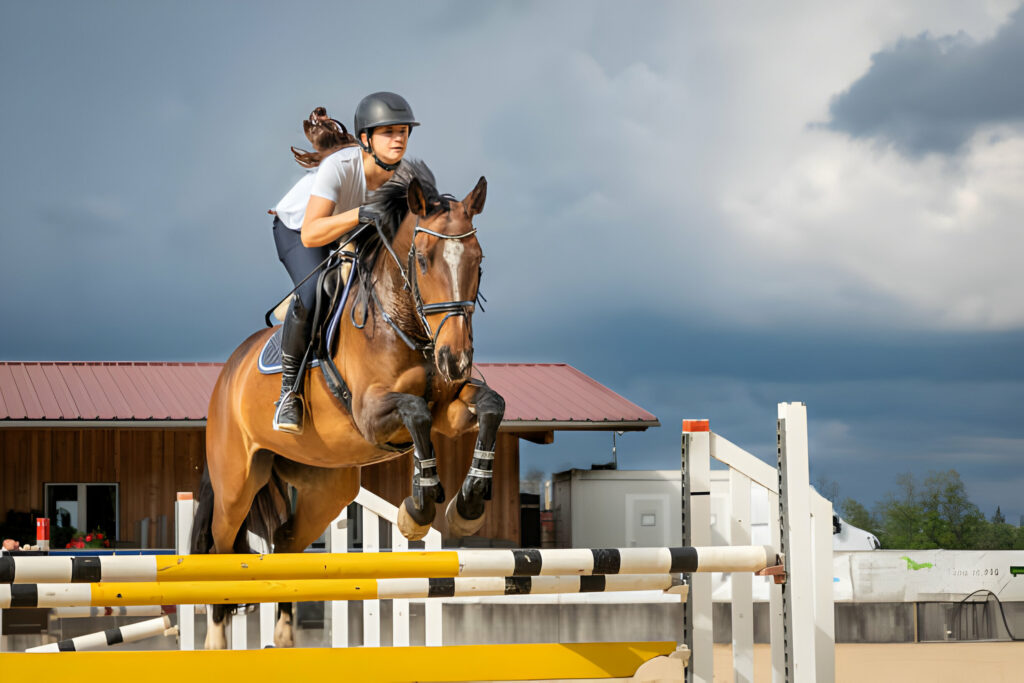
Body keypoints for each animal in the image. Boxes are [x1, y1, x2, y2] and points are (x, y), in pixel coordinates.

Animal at [189, 161, 503, 651]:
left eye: (479, 260)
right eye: (424, 259)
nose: (455, 359)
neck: (403, 321)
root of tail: (226, 376)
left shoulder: (450, 410)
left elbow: (490, 405)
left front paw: (467, 504)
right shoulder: (371, 414)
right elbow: (415, 412)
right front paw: (418, 510)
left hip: (326, 487)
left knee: (286, 540)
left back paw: (284, 636)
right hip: (237, 483)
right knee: (222, 549)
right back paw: (217, 641)